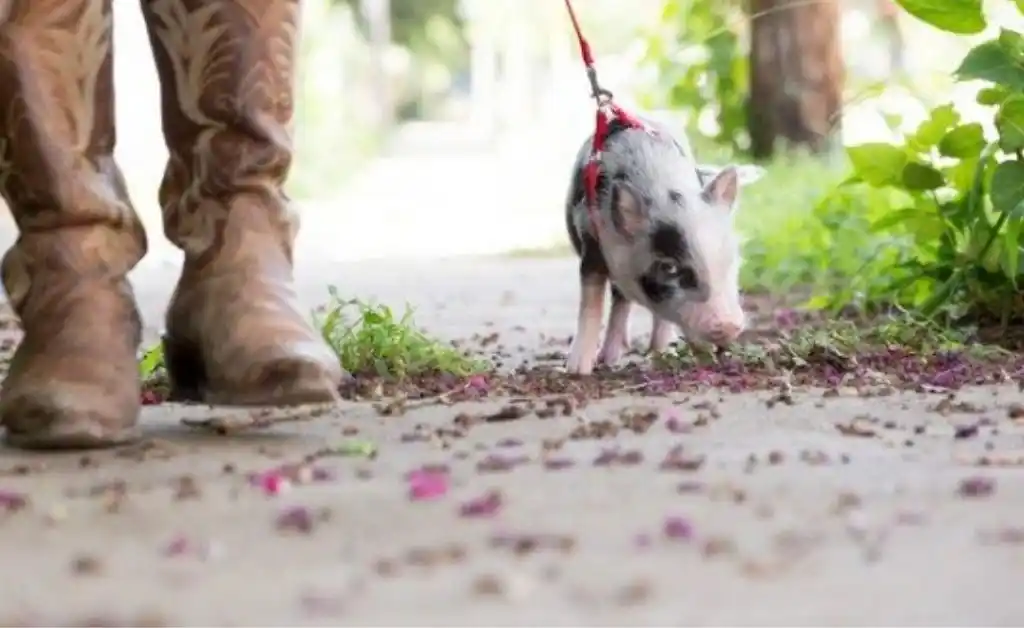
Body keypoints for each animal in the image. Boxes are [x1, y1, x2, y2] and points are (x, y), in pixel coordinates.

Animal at [564, 117, 764, 375]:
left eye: (731, 259)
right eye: (669, 267)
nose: (730, 325)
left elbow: (663, 318)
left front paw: (666, 355)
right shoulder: (590, 238)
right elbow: (591, 301)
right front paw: (577, 370)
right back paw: (609, 359)